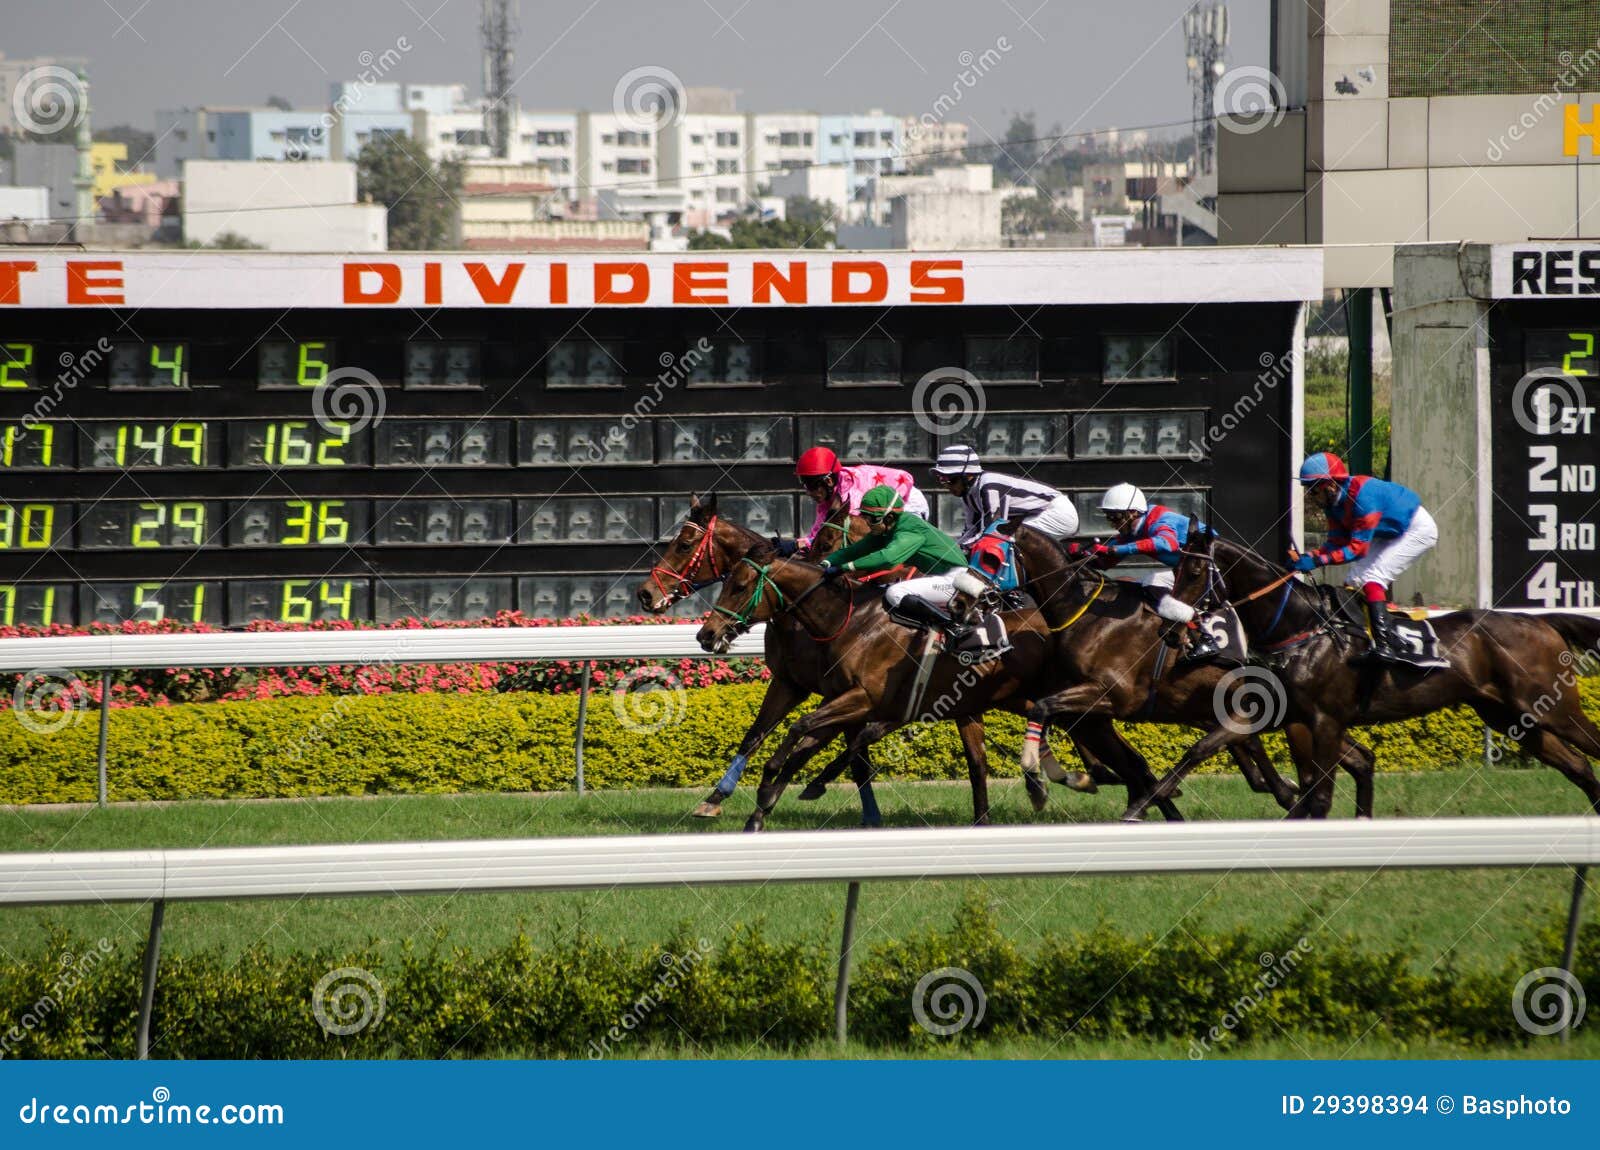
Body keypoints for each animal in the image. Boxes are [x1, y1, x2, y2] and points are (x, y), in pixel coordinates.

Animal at [1158, 537, 1600, 818]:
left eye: (1194, 570)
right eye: (1174, 568)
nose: (1169, 629)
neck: (1303, 629)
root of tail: (1541, 621)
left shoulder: (1326, 721)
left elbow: (1320, 796)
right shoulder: (1285, 714)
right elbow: (1210, 746)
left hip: (1553, 708)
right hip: (1511, 717)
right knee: (1579, 767)